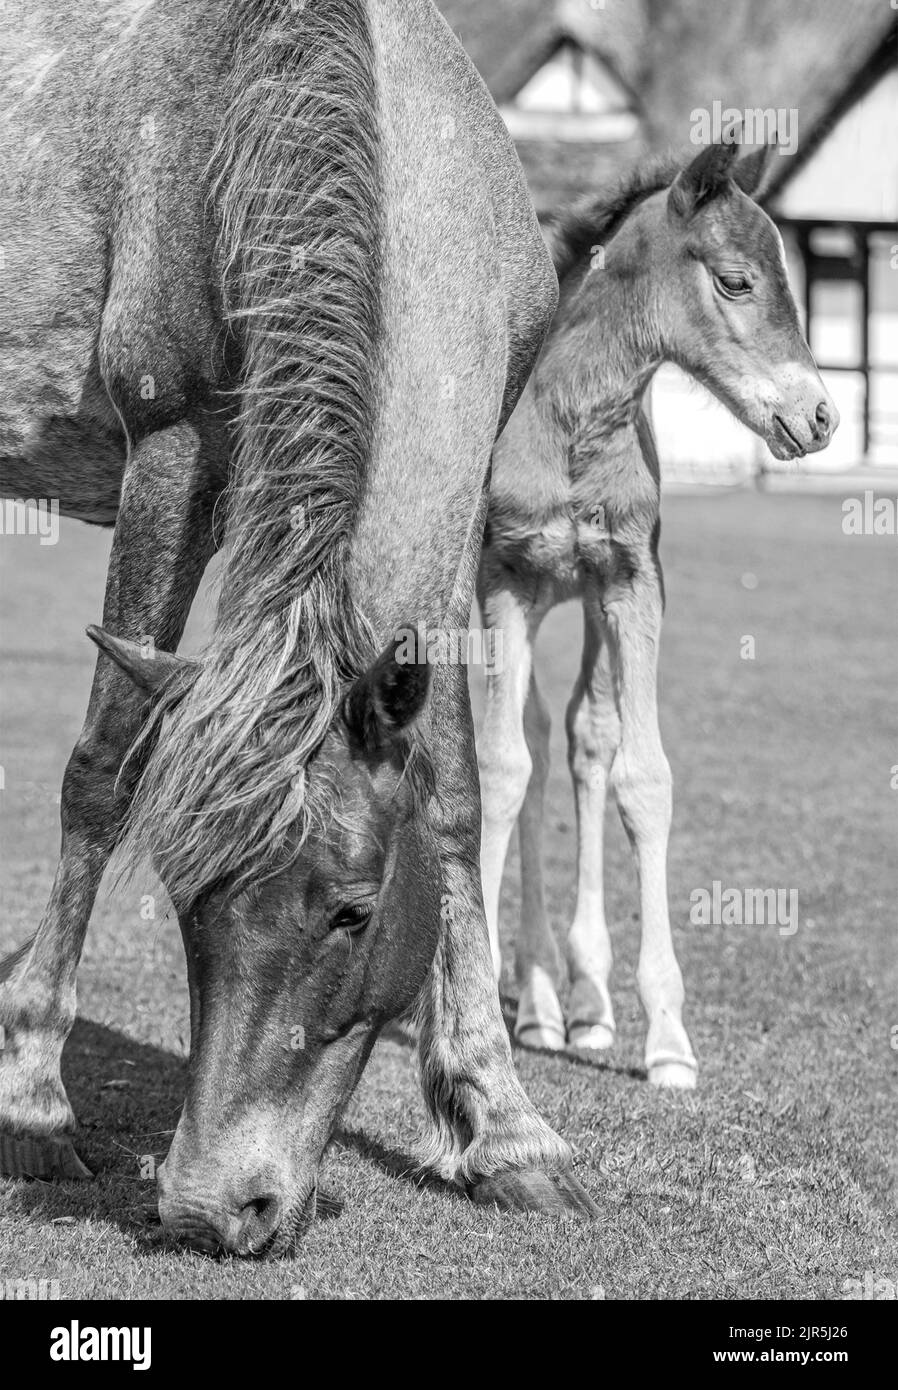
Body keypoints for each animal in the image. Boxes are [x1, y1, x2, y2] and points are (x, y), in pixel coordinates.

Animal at [0, 0, 597, 1251]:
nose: (214, 1205)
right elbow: (105, 767)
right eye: (186, 903)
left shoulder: (454, 535)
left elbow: (458, 805)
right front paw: (31, 1104)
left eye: (353, 911)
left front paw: (507, 1127)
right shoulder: (173, 448)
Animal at [480, 141, 839, 1084]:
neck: (570, 422)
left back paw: (573, 1005)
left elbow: (641, 773)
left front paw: (668, 1038)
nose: (821, 415)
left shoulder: (633, 579)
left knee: (573, 735)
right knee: (515, 749)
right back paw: (530, 995)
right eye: (737, 281)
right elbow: (498, 770)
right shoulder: (502, 580)